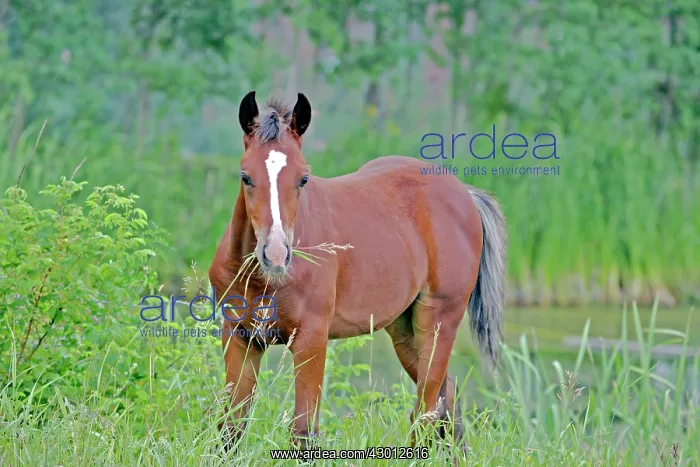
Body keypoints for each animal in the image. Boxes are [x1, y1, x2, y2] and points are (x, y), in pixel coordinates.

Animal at [208, 91, 507, 453]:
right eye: (246, 177)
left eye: (303, 178)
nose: (276, 255)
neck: (262, 279)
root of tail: (465, 193)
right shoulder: (239, 336)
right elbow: (230, 428)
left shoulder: (311, 339)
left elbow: (302, 431)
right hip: (403, 327)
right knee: (445, 396)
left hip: (438, 321)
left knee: (426, 408)